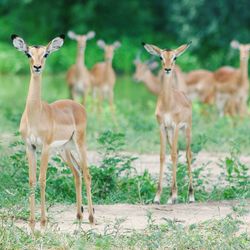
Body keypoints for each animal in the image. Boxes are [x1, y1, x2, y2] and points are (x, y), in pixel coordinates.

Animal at [11, 34, 94, 231]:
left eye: (46, 54)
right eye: (28, 54)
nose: (37, 67)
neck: (36, 114)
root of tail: (78, 106)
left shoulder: (46, 147)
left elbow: (42, 180)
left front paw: (42, 222)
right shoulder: (30, 147)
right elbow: (32, 180)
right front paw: (31, 223)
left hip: (79, 143)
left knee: (87, 173)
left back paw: (91, 218)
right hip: (64, 150)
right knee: (77, 173)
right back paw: (78, 216)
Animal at [143, 42, 195, 204]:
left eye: (175, 57)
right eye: (161, 57)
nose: (167, 69)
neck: (167, 104)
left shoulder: (176, 126)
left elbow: (172, 155)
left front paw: (172, 196)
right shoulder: (162, 127)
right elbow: (162, 156)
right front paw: (158, 197)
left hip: (187, 130)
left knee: (188, 154)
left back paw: (191, 196)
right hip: (170, 133)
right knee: (177, 152)